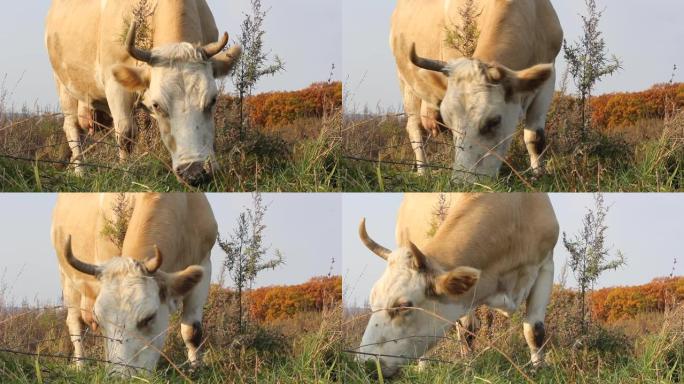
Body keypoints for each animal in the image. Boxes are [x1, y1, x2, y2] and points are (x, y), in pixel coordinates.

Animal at [46, 0, 243, 186]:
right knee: (73, 130)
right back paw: (80, 172)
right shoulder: (115, 86)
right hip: (64, 87)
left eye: (213, 99)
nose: (194, 172)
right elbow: (126, 134)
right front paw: (126, 175)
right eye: (157, 105)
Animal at [50, 194, 216, 374]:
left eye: (149, 317)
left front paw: (196, 368)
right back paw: (81, 365)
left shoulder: (204, 264)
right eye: (99, 319)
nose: (120, 376)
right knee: (75, 325)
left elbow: (192, 330)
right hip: (66, 279)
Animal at [356, 194, 560, 376]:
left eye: (404, 305)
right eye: (373, 302)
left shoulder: (546, 264)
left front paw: (538, 369)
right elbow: (468, 329)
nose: (365, 364)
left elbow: (535, 329)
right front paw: (468, 370)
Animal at [390, 0, 560, 180]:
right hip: (406, 86)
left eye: (494, 121)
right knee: (415, 130)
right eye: (449, 121)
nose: (462, 181)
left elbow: (535, 137)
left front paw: (539, 174)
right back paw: (424, 172)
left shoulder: (548, 76)